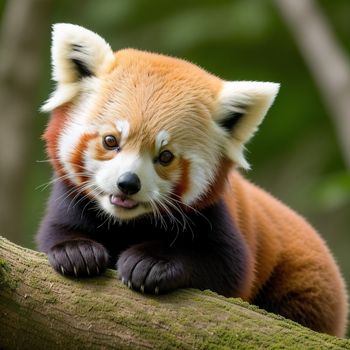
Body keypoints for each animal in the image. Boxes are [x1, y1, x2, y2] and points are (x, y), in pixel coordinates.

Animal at [37, 22, 348, 336]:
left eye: (165, 156)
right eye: (111, 141)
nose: (128, 183)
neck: (128, 222)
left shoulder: (218, 216)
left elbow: (228, 266)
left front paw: (151, 263)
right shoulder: (70, 198)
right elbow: (55, 231)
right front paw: (76, 251)